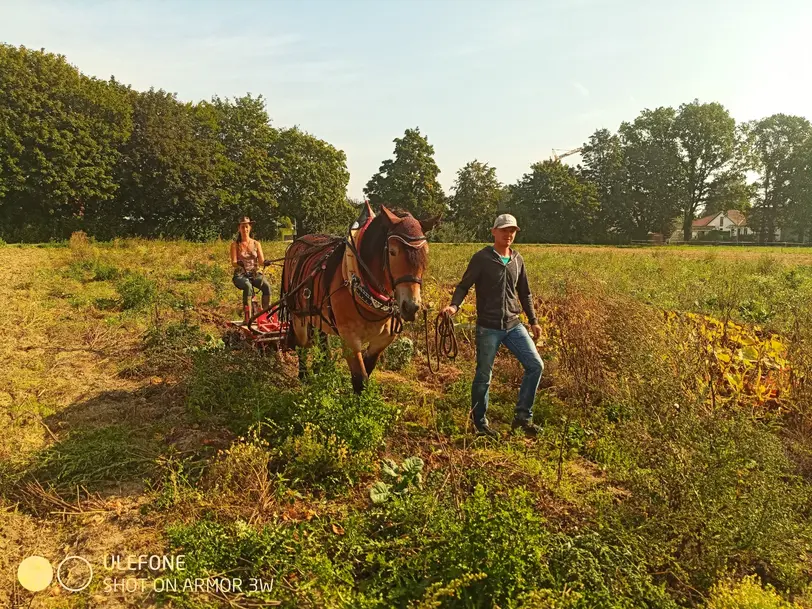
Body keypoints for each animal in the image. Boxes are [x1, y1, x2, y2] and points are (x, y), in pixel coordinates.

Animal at [282, 205, 440, 394]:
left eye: (426, 253)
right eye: (392, 252)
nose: (411, 307)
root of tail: (297, 241)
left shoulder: (383, 339)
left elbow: (368, 368)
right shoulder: (349, 338)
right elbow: (360, 379)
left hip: (317, 313)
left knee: (322, 340)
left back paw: (323, 368)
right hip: (298, 315)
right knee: (302, 345)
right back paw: (304, 375)